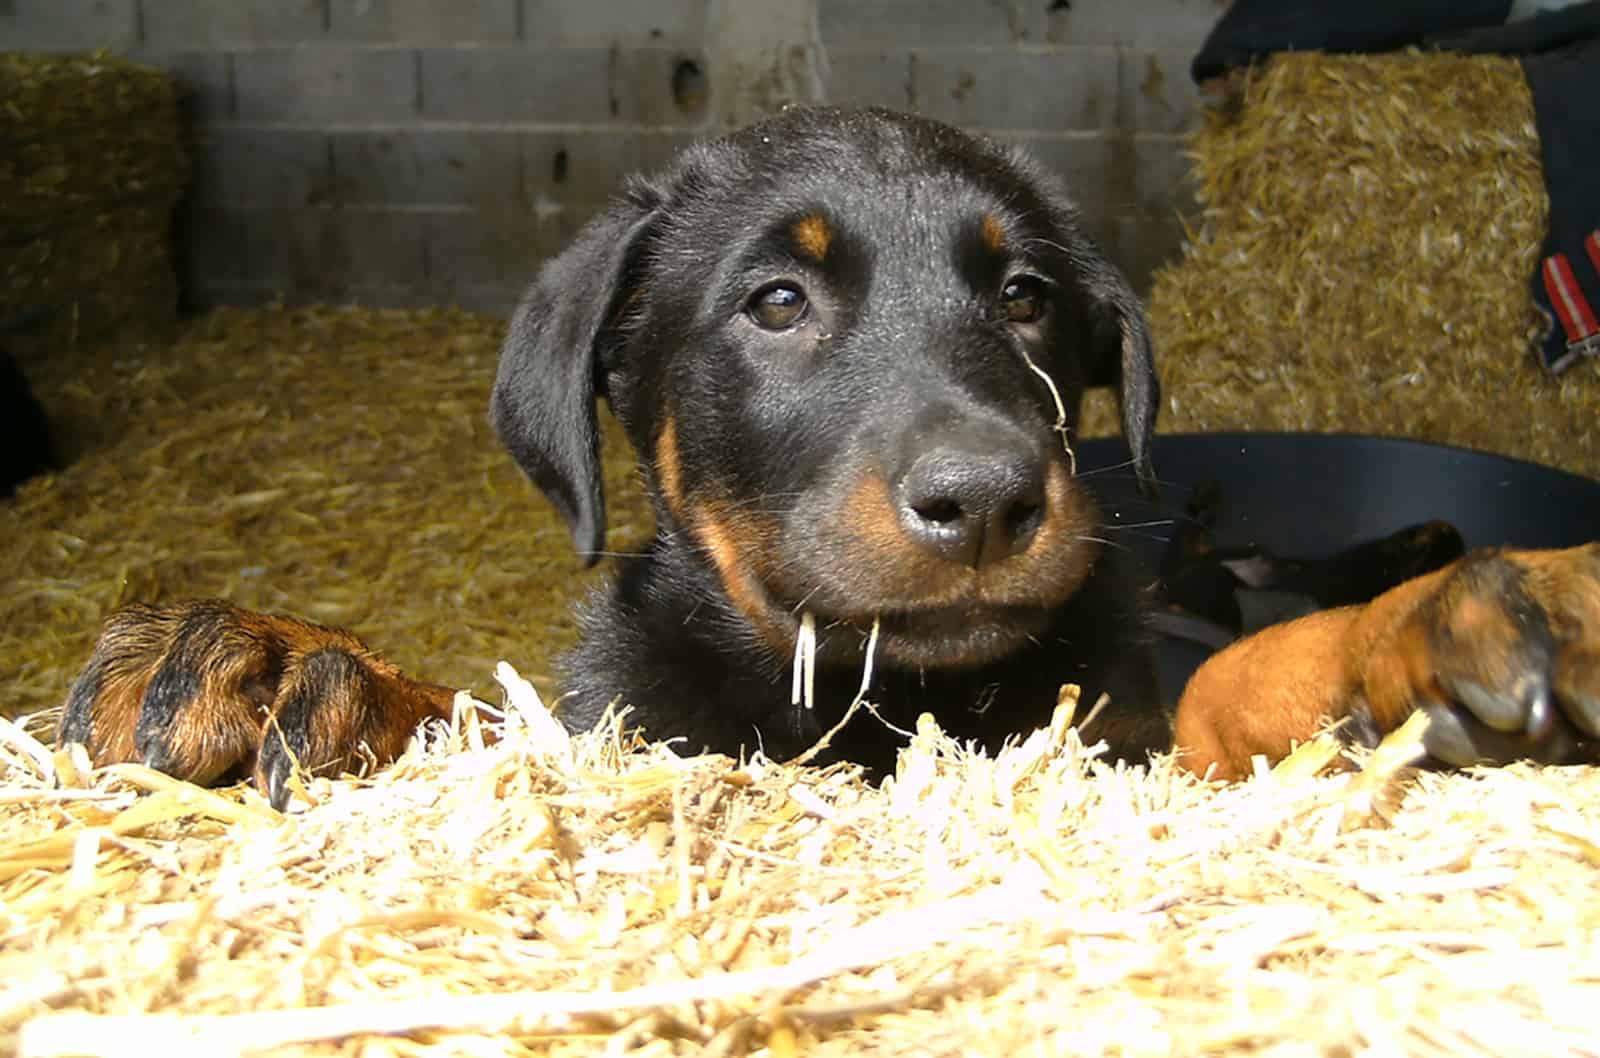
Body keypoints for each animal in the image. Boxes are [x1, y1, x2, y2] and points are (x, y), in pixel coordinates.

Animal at [56, 107, 1593, 803]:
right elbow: (477, 713)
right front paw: (287, 660)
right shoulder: (613, 721)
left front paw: (1433, 628)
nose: (986, 499)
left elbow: (1218, 692)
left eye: (1024, 295)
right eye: (777, 303)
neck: (872, 700)